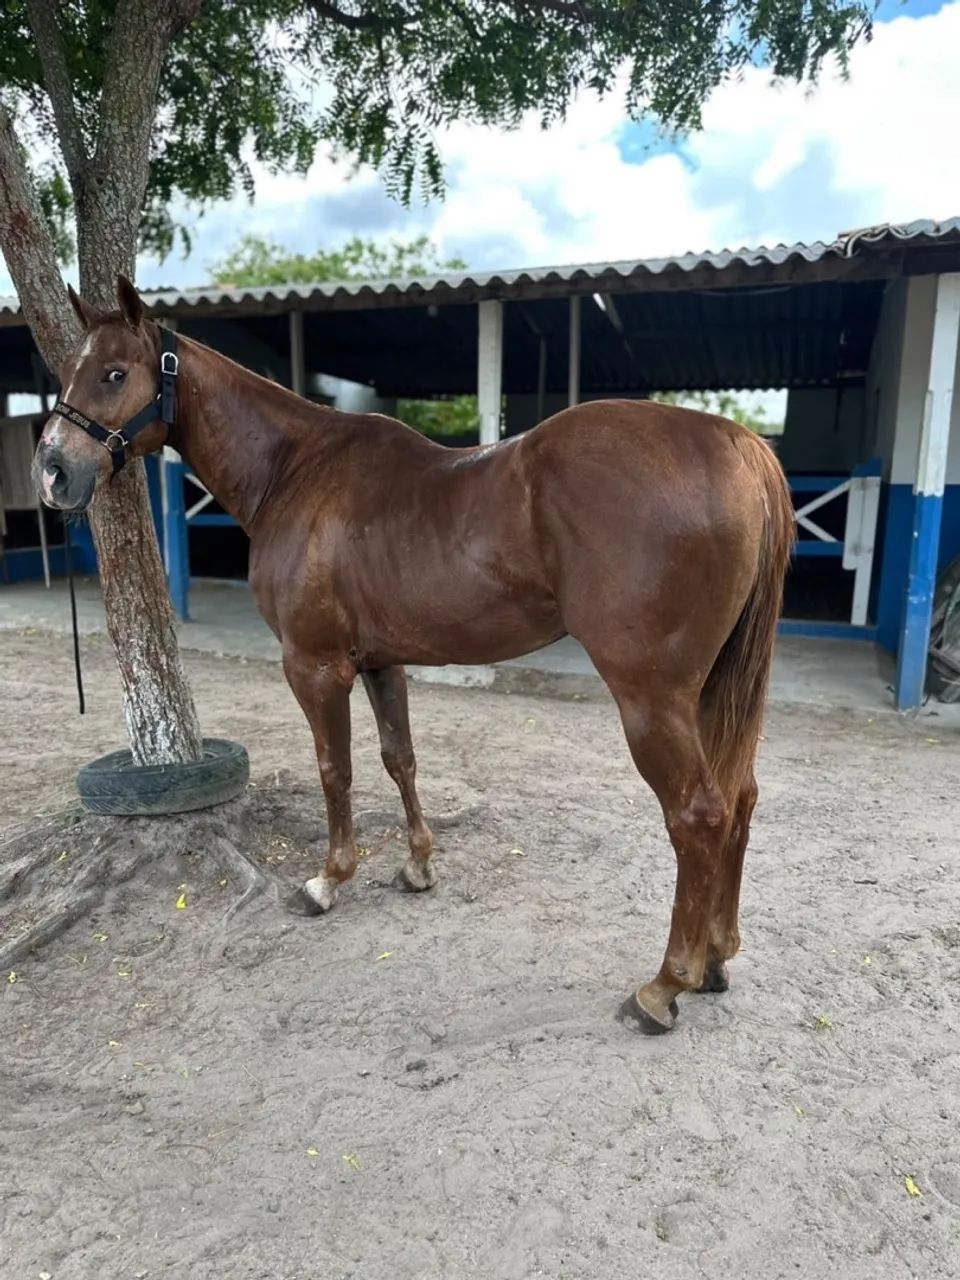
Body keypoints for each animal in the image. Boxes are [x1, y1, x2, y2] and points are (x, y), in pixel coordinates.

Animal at [34, 276, 794, 1035]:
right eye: (69, 369)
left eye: (114, 373)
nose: (53, 473)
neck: (295, 470)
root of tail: (737, 445)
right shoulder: (379, 661)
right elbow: (399, 759)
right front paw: (419, 866)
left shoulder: (314, 666)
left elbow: (335, 770)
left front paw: (328, 879)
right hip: (711, 691)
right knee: (741, 798)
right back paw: (718, 957)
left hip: (652, 697)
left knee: (699, 815)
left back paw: (665, 986)